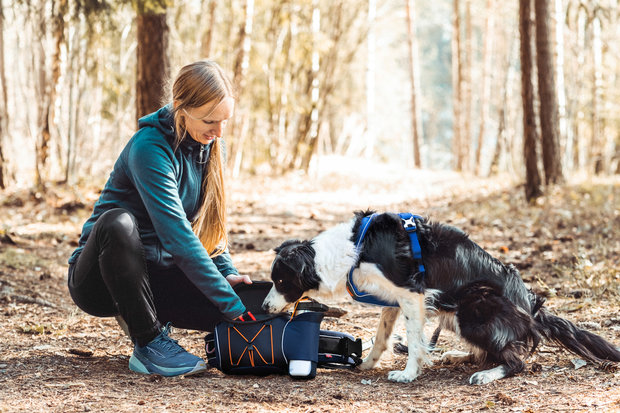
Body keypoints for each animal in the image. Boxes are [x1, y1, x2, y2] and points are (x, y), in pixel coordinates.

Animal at [262, 211, 620, 384]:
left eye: (280, 280)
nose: (264, 306)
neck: (355, 249)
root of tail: (530, 303)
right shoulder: (395, 300)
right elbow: (382, 337)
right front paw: (365, 363)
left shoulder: (411, 293)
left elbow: (414, 340)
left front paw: (408, 374)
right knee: (490, 352)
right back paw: (455, 357)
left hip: (473, 308)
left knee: (516, 360)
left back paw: (486, 375)